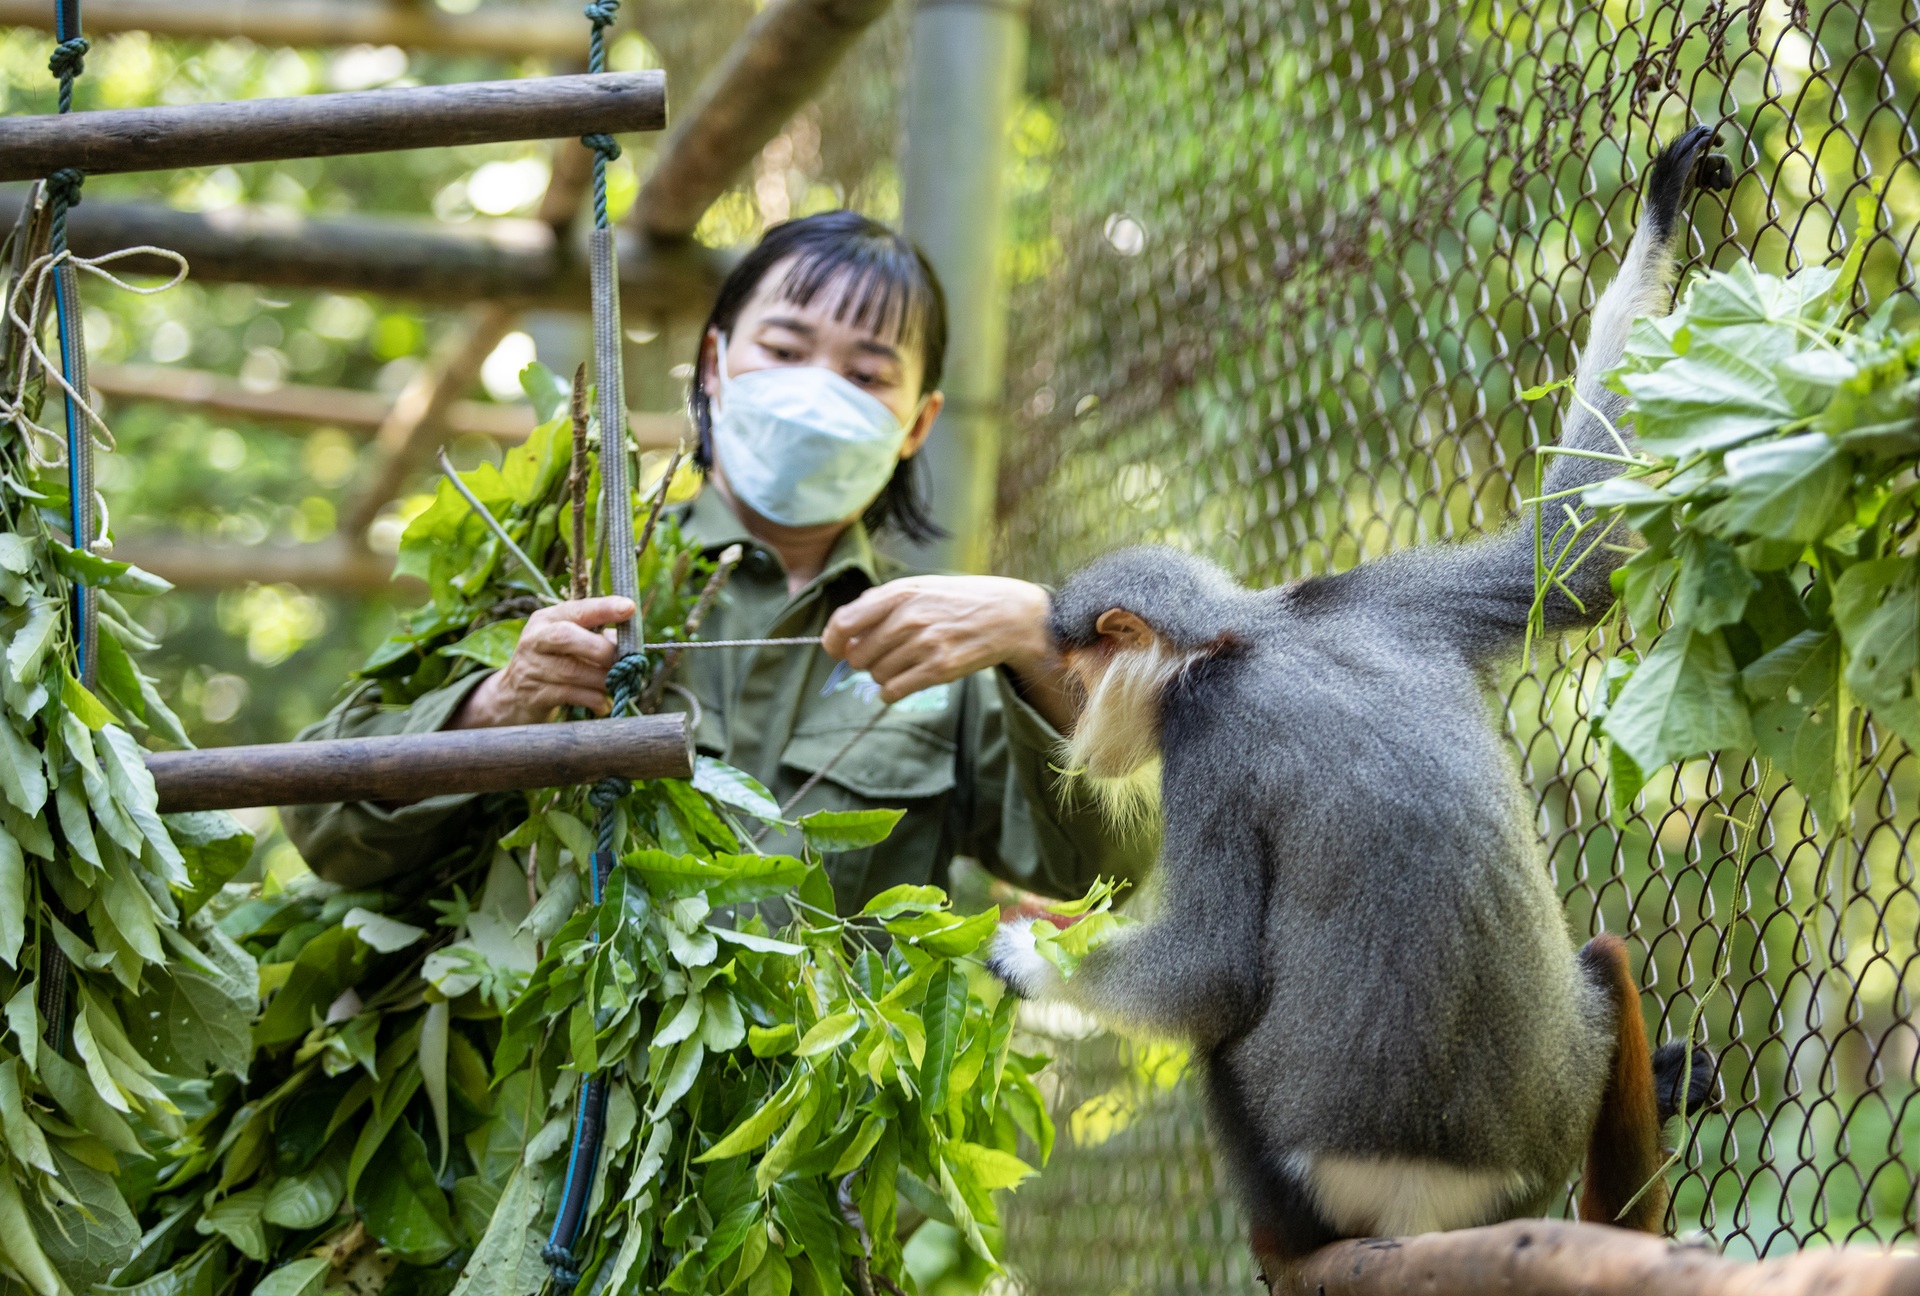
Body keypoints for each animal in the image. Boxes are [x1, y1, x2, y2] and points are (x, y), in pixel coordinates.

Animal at [998, 126, 1735, 1274]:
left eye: (1076, 677)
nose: (1074, 717)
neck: (1248, 636)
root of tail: (1418, 1212)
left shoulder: (1210, 734)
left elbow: (1208, 973)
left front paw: (1023, 954)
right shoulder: (1377, 598)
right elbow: (1569, 558)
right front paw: (1662, 204)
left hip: (1307, 1182)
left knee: (1222, 1043)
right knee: (1603, 965)